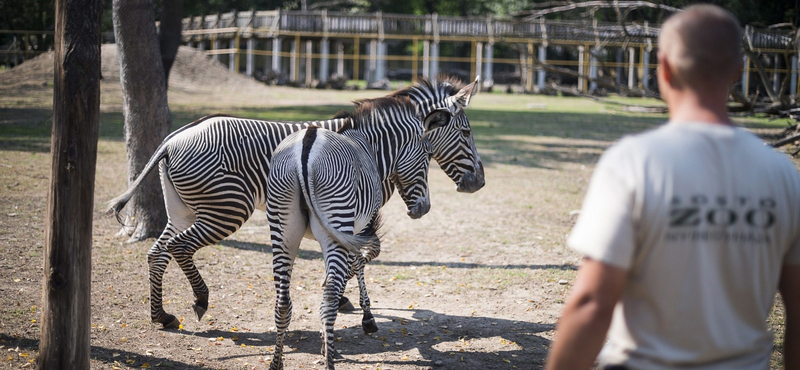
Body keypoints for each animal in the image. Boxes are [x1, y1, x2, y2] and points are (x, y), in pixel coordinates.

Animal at [105, 75, 482, 330]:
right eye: (466, 133)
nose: (478, 183)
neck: (371, 146)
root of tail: (172, 139)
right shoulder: (358, 213)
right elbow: (358, 260)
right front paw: (351, 304)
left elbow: (351, 259)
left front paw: (341, 298)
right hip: (228, 206)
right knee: (179, 248)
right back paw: (200, 299)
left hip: (183, 209)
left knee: (157, 253)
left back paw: (161, 316)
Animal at [264, 96, 446, 370]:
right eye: (427, 154)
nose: (424, 208)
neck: (369, 149)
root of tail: (306, 144)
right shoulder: (361, 225)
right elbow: (361, 262)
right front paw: (366, 318)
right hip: (336, 219)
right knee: (327, 301)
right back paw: (330, 360)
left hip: (283, 231)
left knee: (283, 302)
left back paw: (277, 363)